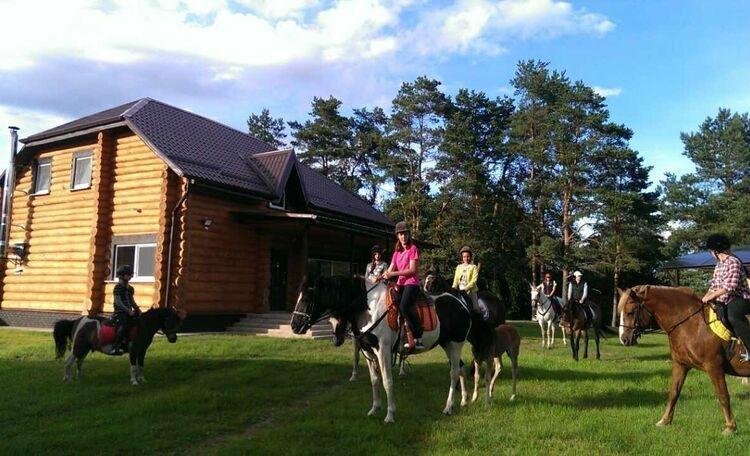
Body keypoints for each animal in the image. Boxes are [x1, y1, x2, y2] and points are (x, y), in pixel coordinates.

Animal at [53, 306, 187, 384]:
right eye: (168, 321)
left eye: (178, 322)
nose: (173, 339)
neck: (142, 326)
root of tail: (76, 321)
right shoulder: (133, 351)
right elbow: (133, 367)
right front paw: (134, 382)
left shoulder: (142, 351)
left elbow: (141, 366)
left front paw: (142, 380)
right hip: (79, 347)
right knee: (69, 362)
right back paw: (67, 379)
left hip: (85, 349)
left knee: (79, 362)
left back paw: (80, 378)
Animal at [290, 272, 472, 422]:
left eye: (306, 299)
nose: (294, 326)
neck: (368, 308)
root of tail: (460, 303)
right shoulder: (368, 351)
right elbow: (375, 380)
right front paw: (374, 409)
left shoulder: (383, 350)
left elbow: (387, 381)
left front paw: (390, 415)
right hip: (446, 344)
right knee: (461, 368)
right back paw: (464, 400)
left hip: (456, 344)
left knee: (454, 372)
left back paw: (448, 407)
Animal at [616, 284, 750, 434]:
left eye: (631, 312)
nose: (623, 339)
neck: (691, 323)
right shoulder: (681, 365)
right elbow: (673, 393)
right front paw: (665, 421)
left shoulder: (714, 367)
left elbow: (723, 396)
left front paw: (730, 427)